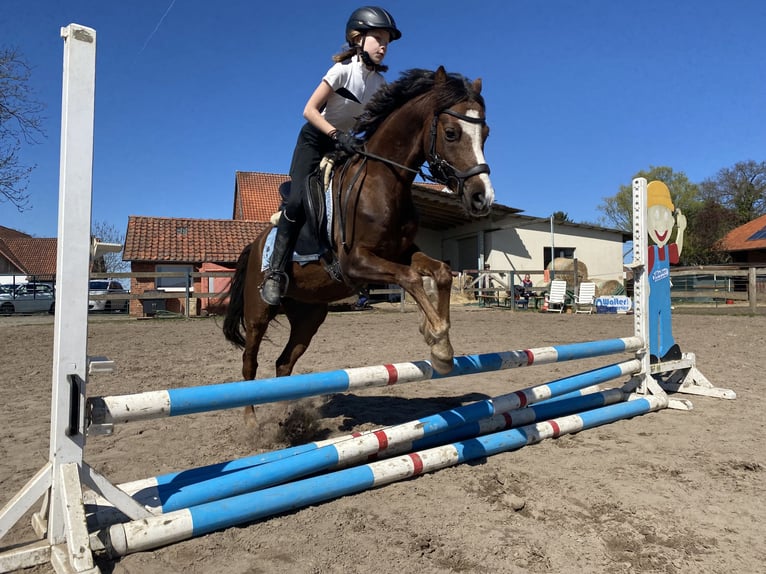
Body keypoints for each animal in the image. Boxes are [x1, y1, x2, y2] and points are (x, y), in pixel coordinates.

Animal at [222, 67, 498, 428]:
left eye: (486, 134)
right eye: (451, 133)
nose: (482, 197)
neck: (385, 181)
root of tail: (253, 245)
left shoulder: (401, 252)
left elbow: (439, 272)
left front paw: (439, 344)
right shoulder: (357, 263)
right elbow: (410, 277)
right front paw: (436, 340)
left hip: (310, 315)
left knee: (284, 362)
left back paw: (288, 418)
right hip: (259, 312)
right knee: (249, 361)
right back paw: (252, 422)